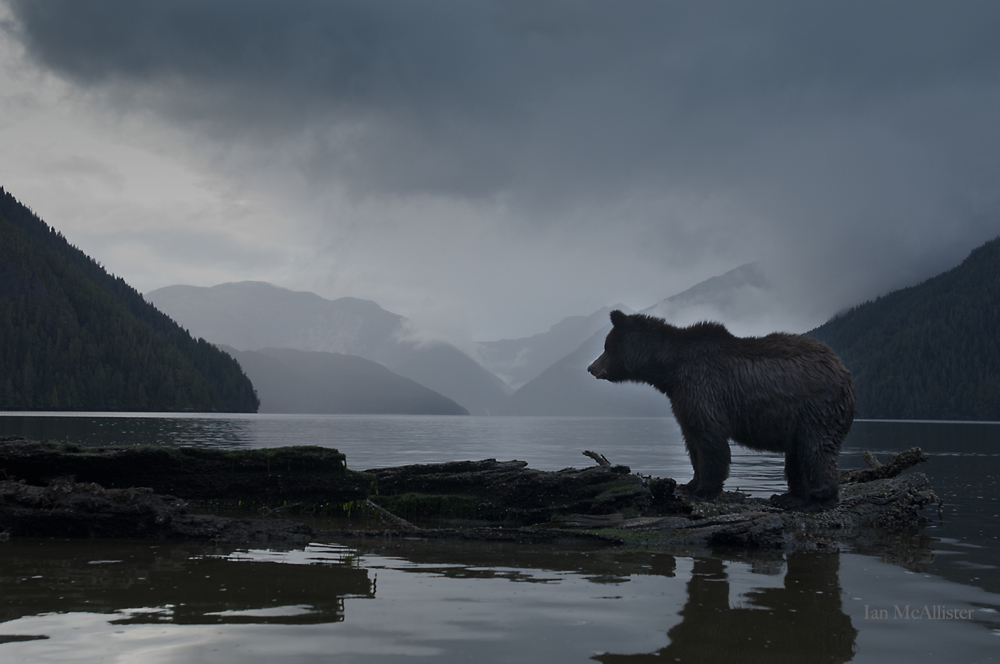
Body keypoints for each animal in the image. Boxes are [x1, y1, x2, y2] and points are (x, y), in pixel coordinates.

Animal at [587, 310, 855, 511]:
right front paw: (689, 484)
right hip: (800, 420)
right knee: (797, 456)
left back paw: (816, 500)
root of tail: (843, 371)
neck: (670, 370)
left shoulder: (703, 387)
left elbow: (710, 440)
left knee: (817, 451)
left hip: (817, 409)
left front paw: (703, 491)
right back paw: (788, 497)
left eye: (606, 347)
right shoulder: (682, 398)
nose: (591, 367)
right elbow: (692, 440)